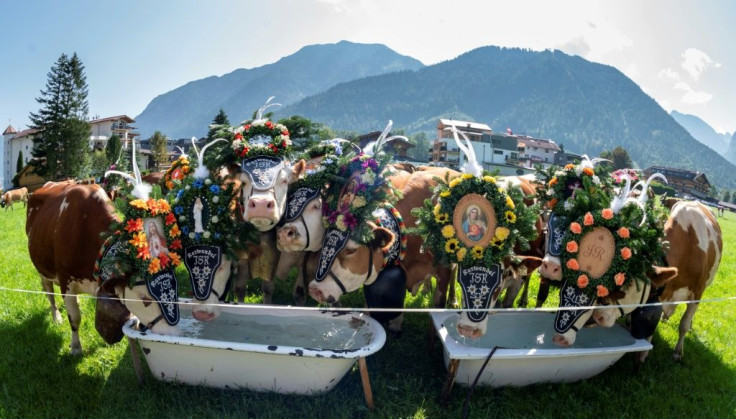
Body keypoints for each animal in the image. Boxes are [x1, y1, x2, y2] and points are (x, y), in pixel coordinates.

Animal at [26, 182, 178, 356]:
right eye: (144, 299)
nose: (172, 333)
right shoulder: (66, 282)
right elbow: (75, 318)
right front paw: (76, 347)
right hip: (42, 270)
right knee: (49, 292)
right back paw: (56, 316)